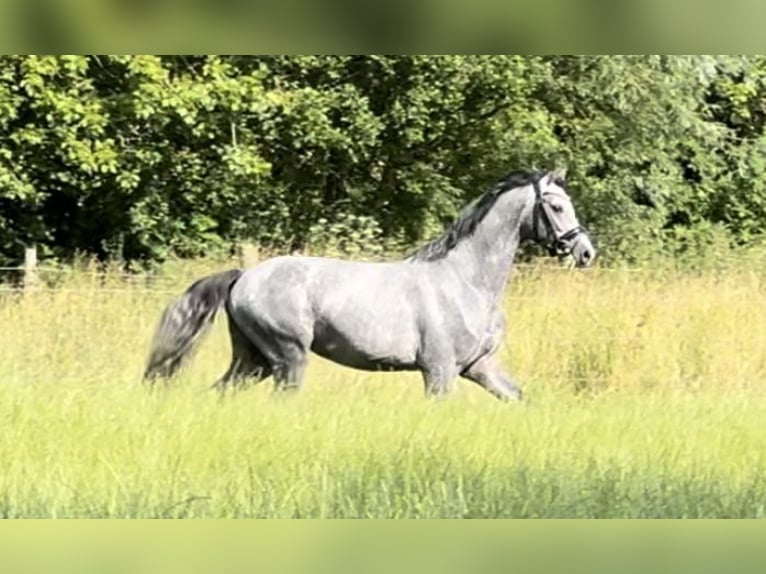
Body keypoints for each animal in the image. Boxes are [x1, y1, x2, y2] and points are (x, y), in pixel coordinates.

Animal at [146, 170, 600, 400]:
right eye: (556, 206)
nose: (585, 253)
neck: (467, 282)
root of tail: (244, 277)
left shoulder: (479, 366)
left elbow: (518, 397)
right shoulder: (440, 372)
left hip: (252, 360)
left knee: (220, 393)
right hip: (286, 357)